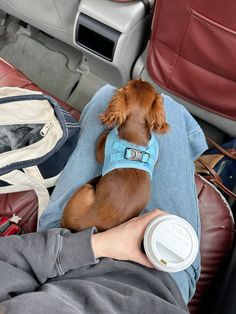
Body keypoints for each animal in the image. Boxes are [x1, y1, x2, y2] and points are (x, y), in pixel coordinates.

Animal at [60, 79, 169, 232]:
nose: (140, 78)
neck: (135, 132)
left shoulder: (101, 151)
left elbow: (102, 141)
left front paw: (109, 129)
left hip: (86, 189)